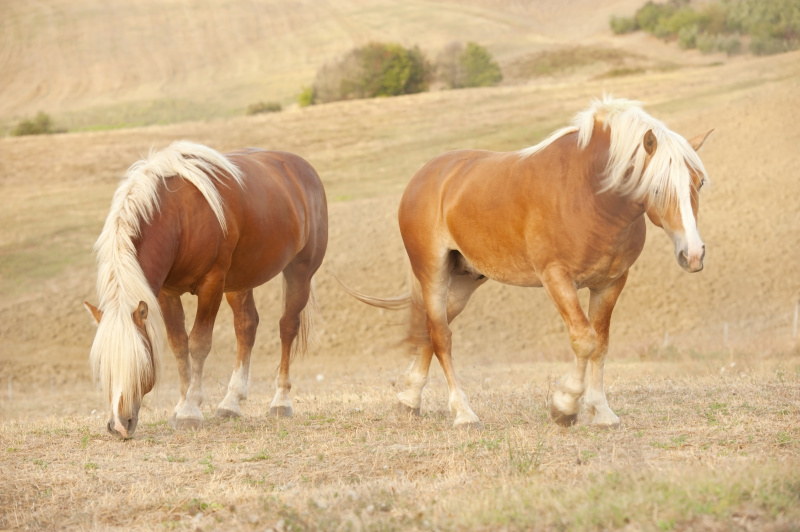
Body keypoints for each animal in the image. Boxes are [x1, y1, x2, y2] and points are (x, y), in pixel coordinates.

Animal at [84, 140, 328, 436]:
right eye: (103, 365)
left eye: (140, 362)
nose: (119, 425)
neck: (178, 216)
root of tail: (302, 169)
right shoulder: (167, 292)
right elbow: (179, 345)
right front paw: (181, 405)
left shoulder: (211, 285)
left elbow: (198, 343)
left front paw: (190, 410)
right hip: (239, 282)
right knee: (246, 326)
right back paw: (230, 403)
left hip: (299, 271)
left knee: (287, 327)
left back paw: (281, 401)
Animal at [342, 96, 712, 428]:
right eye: (657, 188)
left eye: (699, 182)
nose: (693, 254)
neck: (590, 194)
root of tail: (425, 175)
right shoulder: (556, 278)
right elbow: (585, 339)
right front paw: (565, 405)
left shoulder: (611, 282)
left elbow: (601, 344)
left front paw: (601, 411)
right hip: (433, 273)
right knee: (441, 336)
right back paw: (463, 413)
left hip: (462, 281)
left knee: (430, 330)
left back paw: (409, 400)